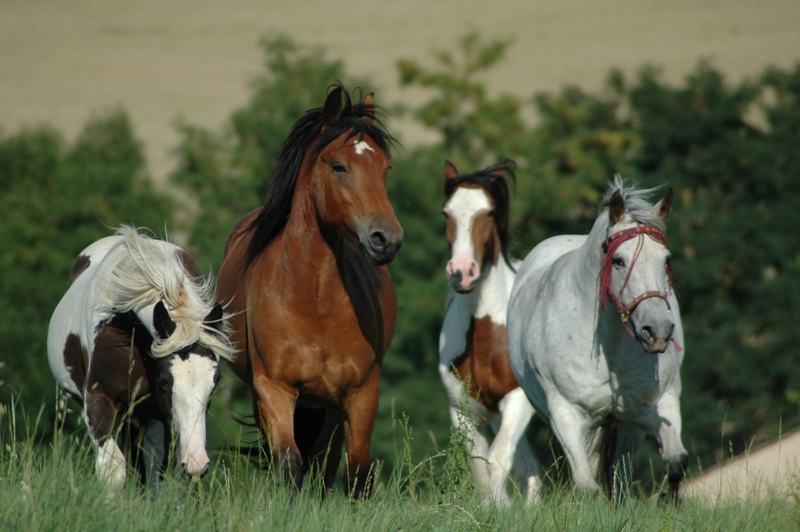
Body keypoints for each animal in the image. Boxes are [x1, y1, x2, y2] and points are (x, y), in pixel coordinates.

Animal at [47, 227, 236, 492]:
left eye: (215, 382)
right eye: (165, 381)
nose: (197, 463)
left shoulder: (155, 415)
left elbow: (156, 473)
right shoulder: (99, 401)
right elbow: (113, 473)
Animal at [216, 85, 404, 496]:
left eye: (385, 168)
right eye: (338, 166)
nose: (387, 239)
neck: (314, 298)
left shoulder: (361, 395)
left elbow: (356, 474)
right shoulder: (274, 388)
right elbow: (289, 464)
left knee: (326, 464)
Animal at [438, 160, 544, 504]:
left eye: (488, 212)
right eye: (447, 213)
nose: (461, 272)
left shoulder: (518, 399)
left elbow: (498, 460)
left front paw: (499, 507)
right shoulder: (464, 410)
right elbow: (481, 469)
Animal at [506, 177, 688, 500]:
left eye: (666, 260)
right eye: (618, 260)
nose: (658, 331)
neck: (608, 350)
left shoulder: (661, 403)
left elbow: (676, 462)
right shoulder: (566, 417)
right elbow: (586, 487)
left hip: (628, 428)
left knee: (620, 472)